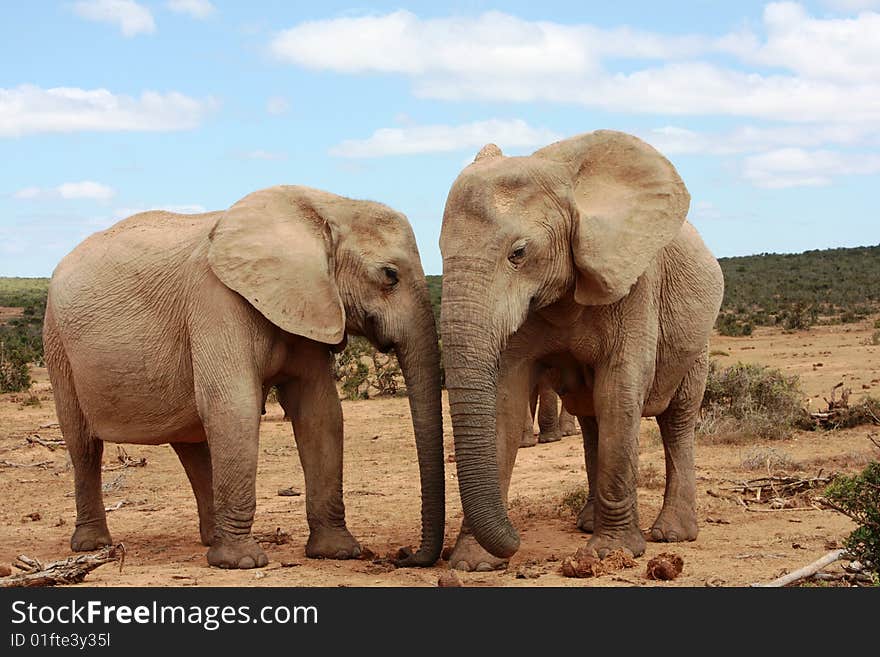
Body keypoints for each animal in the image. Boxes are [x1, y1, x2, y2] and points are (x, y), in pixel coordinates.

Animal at [42, 184, 444, 568]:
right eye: (390, 276)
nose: (404, 555)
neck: (327, 205)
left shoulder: (308, 304)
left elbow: (320, 413)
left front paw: (338, 553)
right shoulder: (217, 301)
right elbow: (234, 407)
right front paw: (243, 563)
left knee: (192, 441)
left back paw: (209, 540)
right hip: (56, 343)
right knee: (84, 445)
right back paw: (93, 546)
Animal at [438, 129, 720, 568]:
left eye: (518, 253)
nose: (516, 540)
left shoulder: (636, 283)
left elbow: (619, 391)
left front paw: (612, 553)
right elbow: (505, 400)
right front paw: (473, 562)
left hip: (697, 339)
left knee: (677, 419)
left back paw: (673, 534)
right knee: (592, 420)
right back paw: (588, 523)